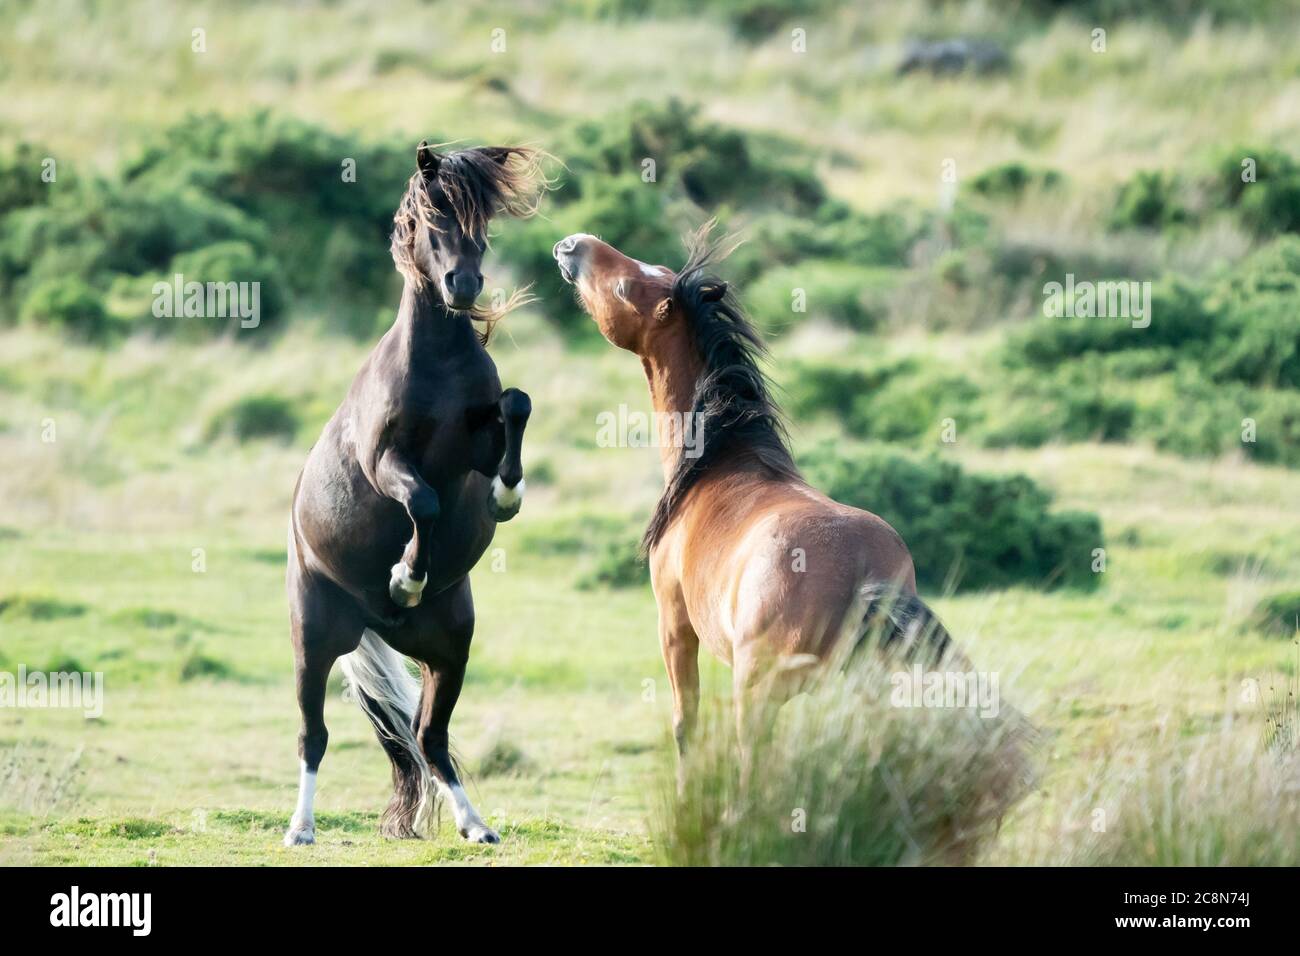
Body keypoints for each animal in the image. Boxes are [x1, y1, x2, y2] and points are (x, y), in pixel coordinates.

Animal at [283, 142, 543, 847]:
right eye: (432, 219)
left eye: (481, 220)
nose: (463, 285)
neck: (438, 366)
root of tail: (374, 624)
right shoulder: (384, 461)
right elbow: (422, 501)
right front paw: (405, 573)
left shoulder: (479, 445)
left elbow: (517, 405)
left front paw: (507, 496)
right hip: (314, 640)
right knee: (313, 736)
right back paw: (301, 828)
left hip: (449, 649)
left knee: (429, 739)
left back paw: (476, 825)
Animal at [552, 224, 954, 769]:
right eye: (652, 266)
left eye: (624, 287)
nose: (573, 244)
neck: (722, 457)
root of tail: (865, 577)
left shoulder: (673, 624)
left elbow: (686, 726)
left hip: (759, 697)